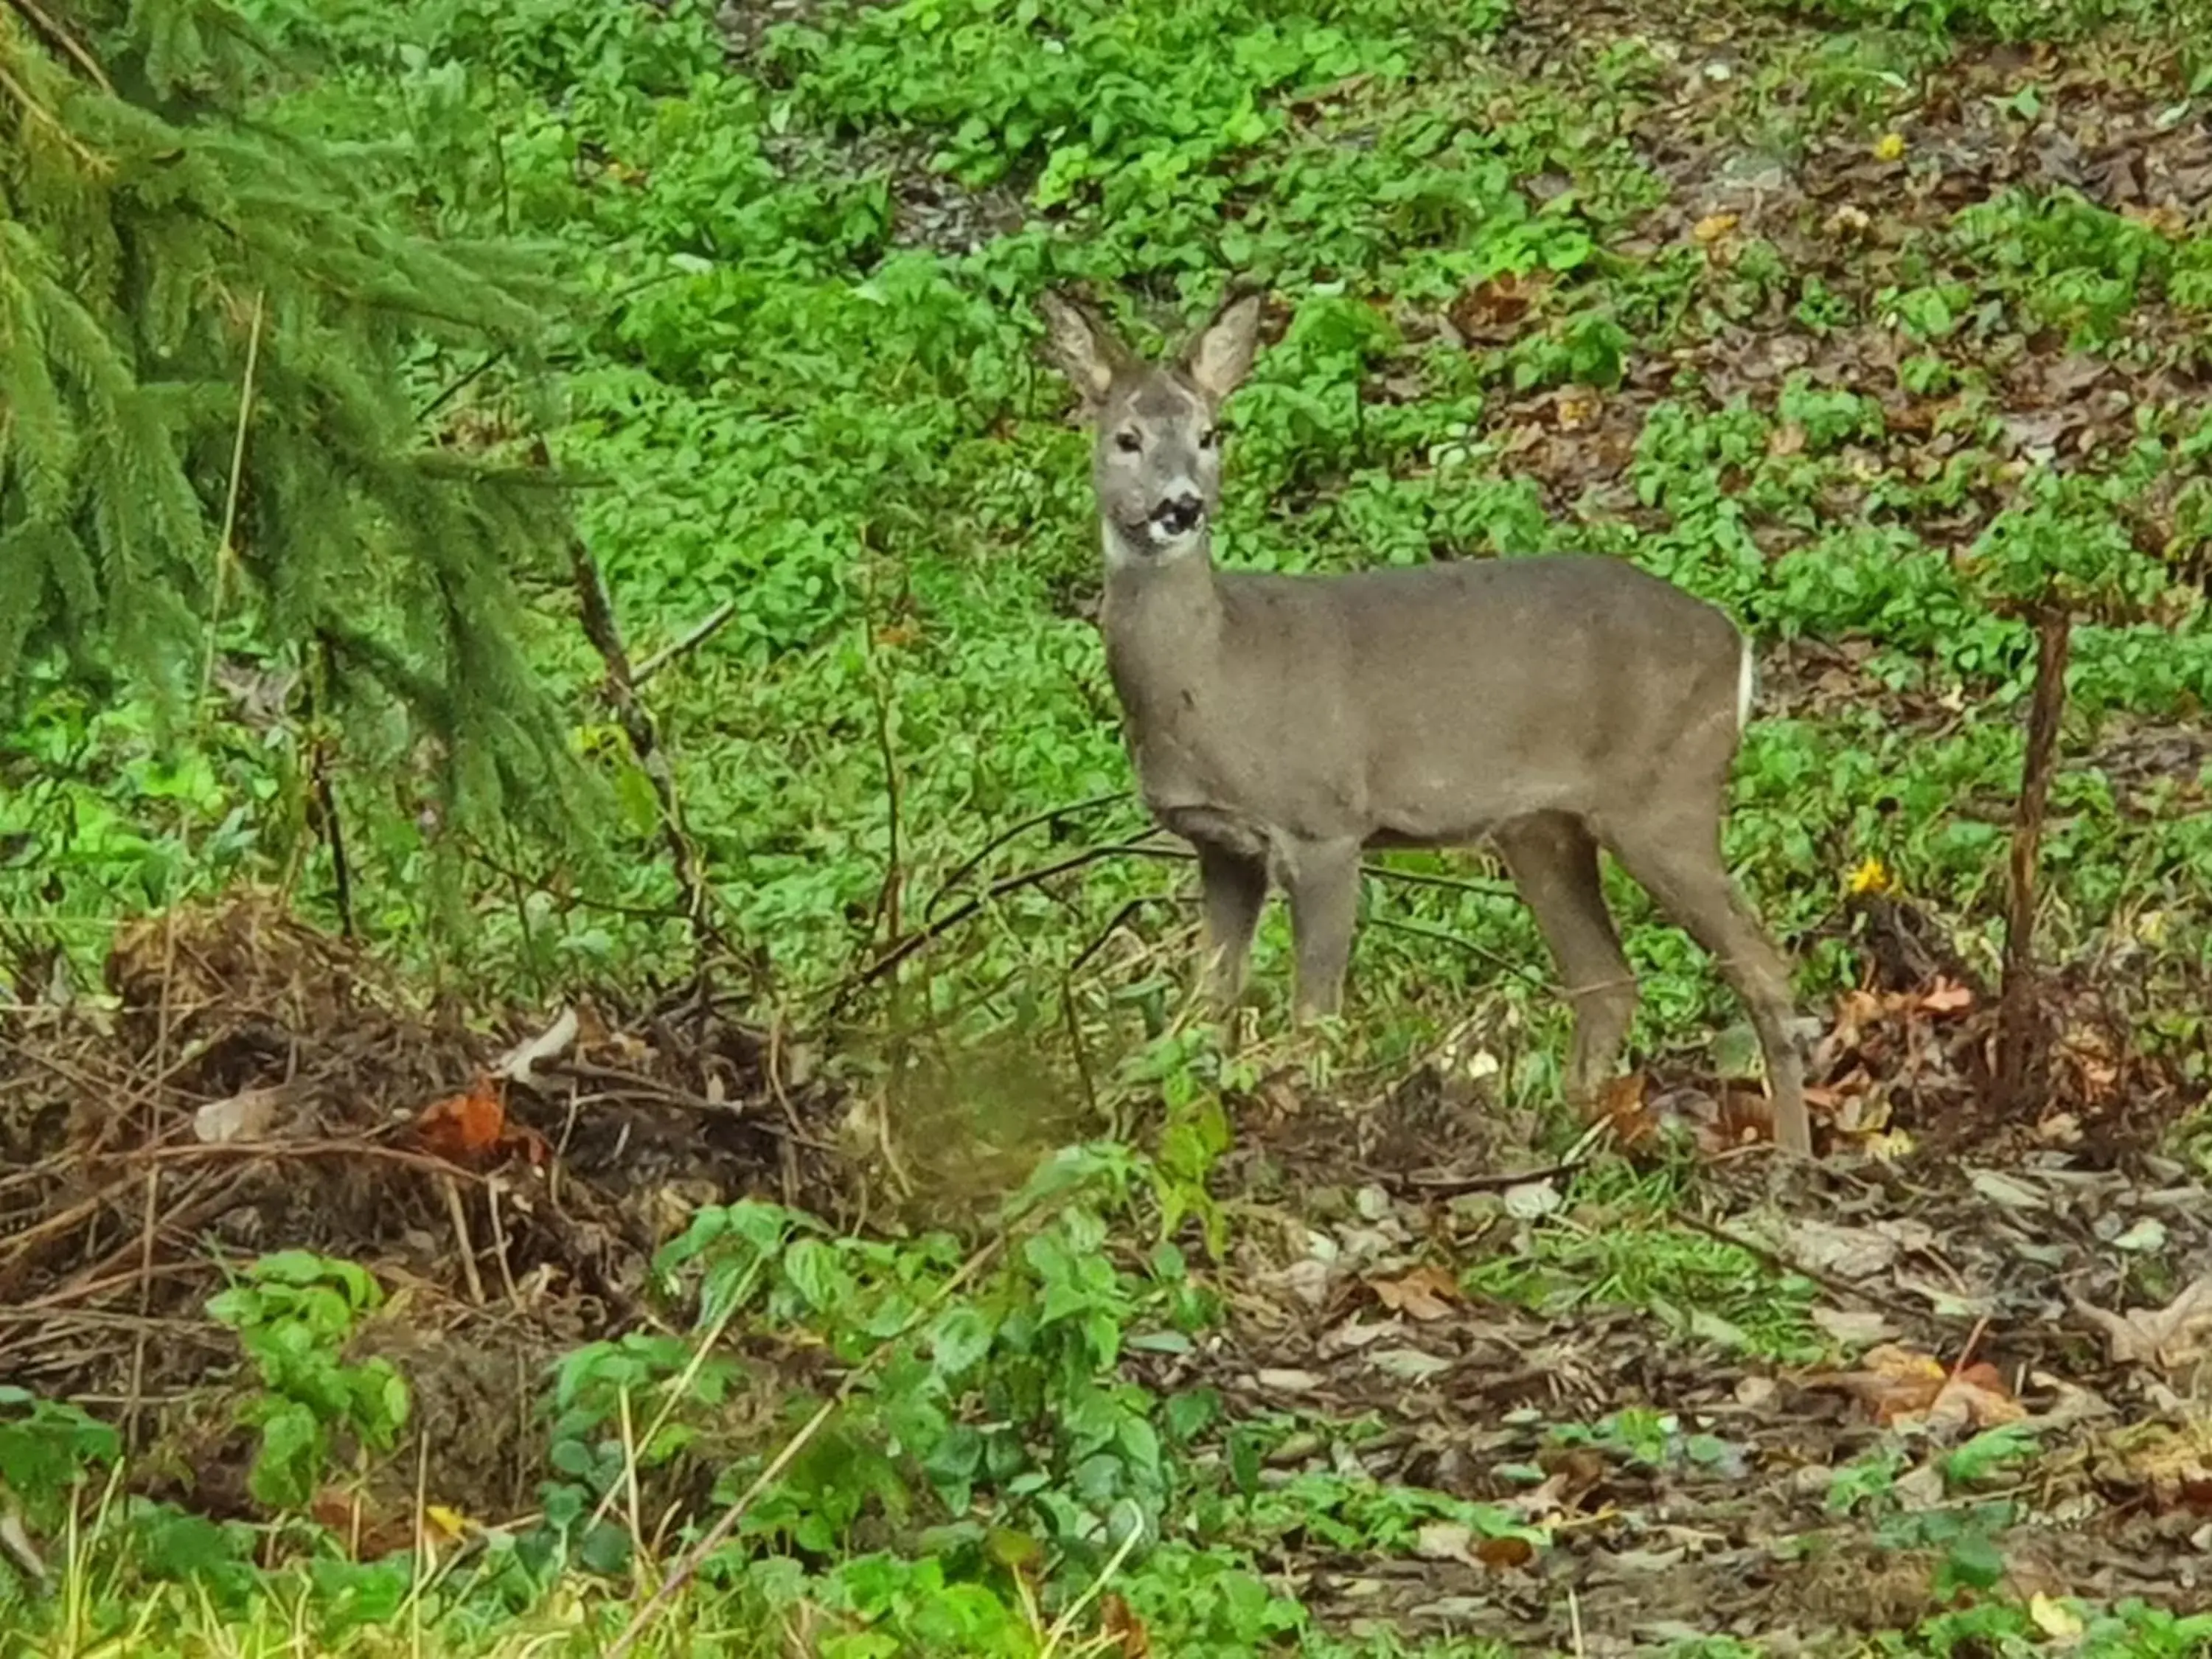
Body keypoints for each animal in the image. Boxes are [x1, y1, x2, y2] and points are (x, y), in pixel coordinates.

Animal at [1040, 285, 1814, 1159]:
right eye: (1127, 438)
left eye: (1209, 433)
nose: (1181, 506)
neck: (1213, 677)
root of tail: (1736, 643)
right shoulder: (1221, 845)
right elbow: (1203, 1009)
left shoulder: (1325, 823)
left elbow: (1315, 1011)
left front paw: (1312, 1122)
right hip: (1543, 828)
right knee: (1607, 978)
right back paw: (1573, 1134)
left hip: (1666, 794)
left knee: (1760, 962)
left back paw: (1790, 1155)